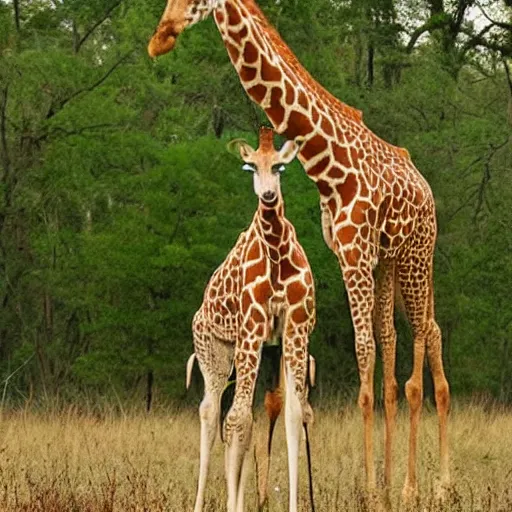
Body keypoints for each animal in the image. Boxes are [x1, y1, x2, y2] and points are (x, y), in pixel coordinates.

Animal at [188, 125, 316, 512]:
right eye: (249, 167)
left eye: (280, 167)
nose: (269, 195)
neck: (276, 253)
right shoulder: (252, 329)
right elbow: (236, 420)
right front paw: (234, 503)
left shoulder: (294, 330)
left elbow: (293, 416)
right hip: (215, 350)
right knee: (213, 411)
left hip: (260, 352)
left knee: (252, 415)